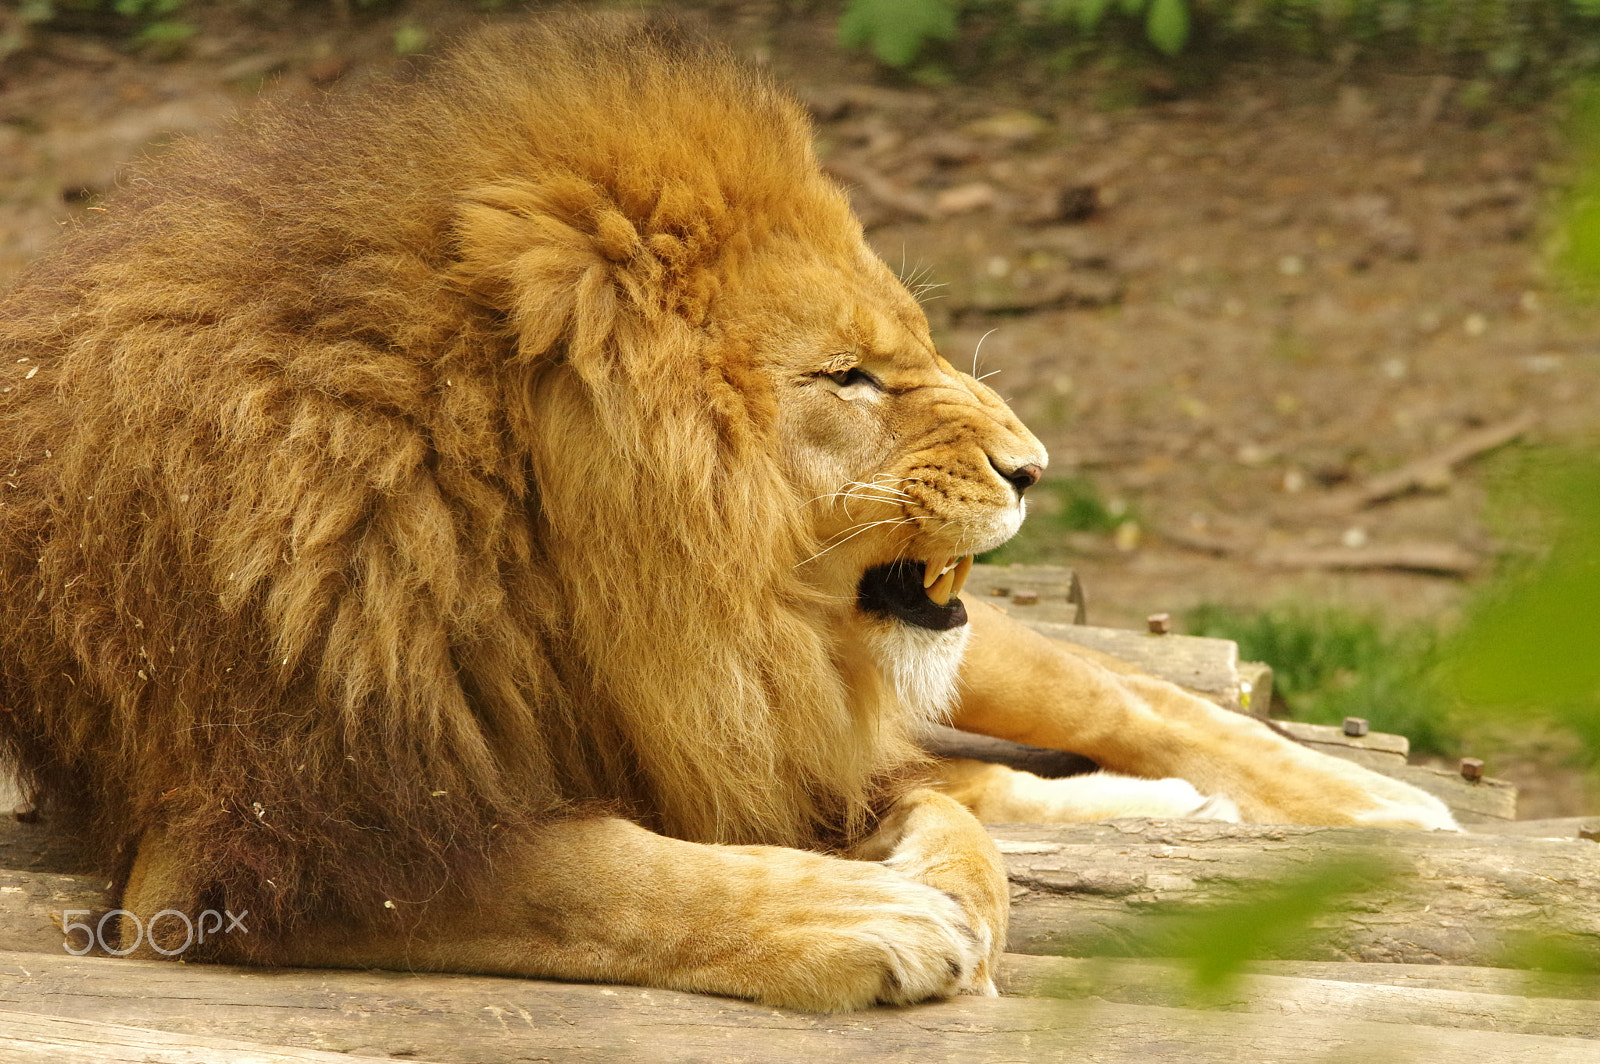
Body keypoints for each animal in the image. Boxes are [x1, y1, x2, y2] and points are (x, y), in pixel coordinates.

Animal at [0, 16, 1452, 1011]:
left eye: (914, 348)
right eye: (850, 376)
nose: (1034, 466)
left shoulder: (755, 708)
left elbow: (946, 806)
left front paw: (935, 887)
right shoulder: (274, 837)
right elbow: (600, 872)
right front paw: (872, 918)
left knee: (1123, 695)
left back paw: (1367, 807)